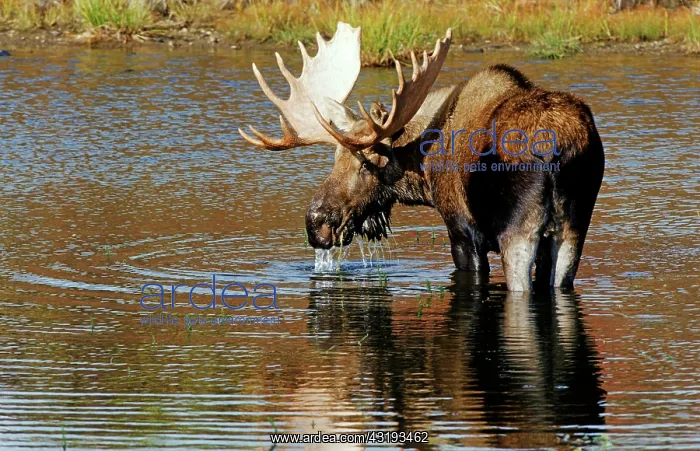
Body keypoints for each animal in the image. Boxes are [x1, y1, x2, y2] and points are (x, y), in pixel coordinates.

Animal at [238, 22, 605, 292]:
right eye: (335, 158)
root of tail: (559, 150)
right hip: (574, 228)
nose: (316, 225)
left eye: (366, 162)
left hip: (518, 231)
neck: (423, 171)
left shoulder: (462, 231)